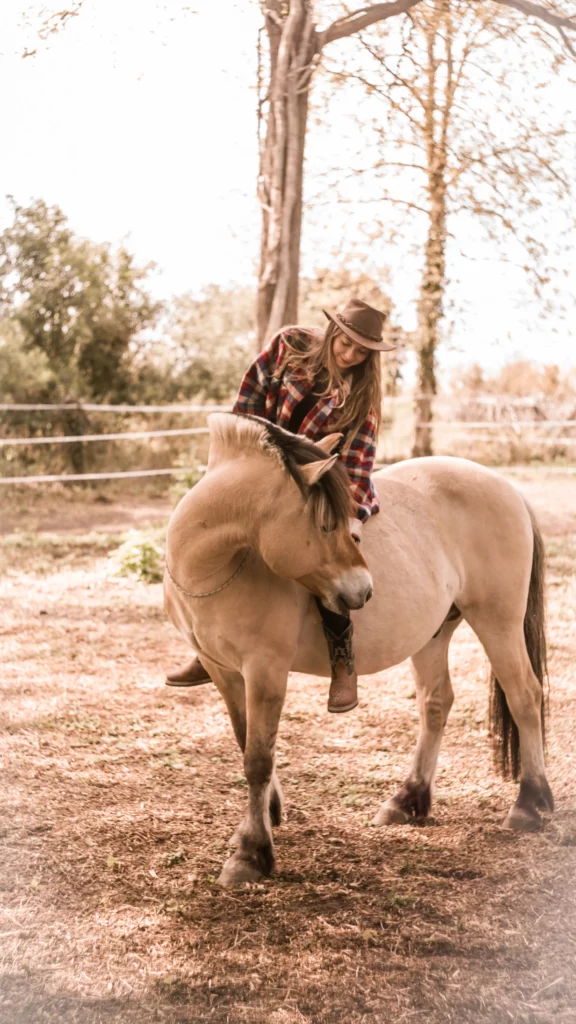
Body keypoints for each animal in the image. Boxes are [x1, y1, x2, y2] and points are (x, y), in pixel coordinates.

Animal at [162, 411, 553, 884]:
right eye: (325, 525)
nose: (365, 590)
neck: (218, 565)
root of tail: (507, 487)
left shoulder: (265, 670)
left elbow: (257, 757)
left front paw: (251, 852)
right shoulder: (223, 670)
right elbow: (246, 742)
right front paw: (269, 814)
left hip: (498, 621)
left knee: (524, 696)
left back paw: (529, 803)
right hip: (433, 634)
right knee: (436, 702)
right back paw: (408, 799)